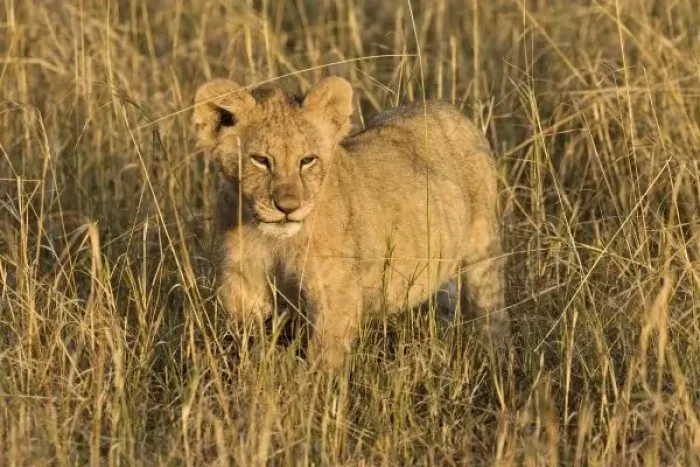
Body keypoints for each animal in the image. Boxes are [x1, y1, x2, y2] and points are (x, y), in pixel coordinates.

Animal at [193, 76, 509, 369]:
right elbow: (248, 343)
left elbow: (324, 362)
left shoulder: (335, 295)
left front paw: (315, 391)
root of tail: (447, 107)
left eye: (307, 160)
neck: (275, 239)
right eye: (260, 160)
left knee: (490, 314)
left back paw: (494, 362)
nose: (287, 207)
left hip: (483, 255)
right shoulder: (243, 284)